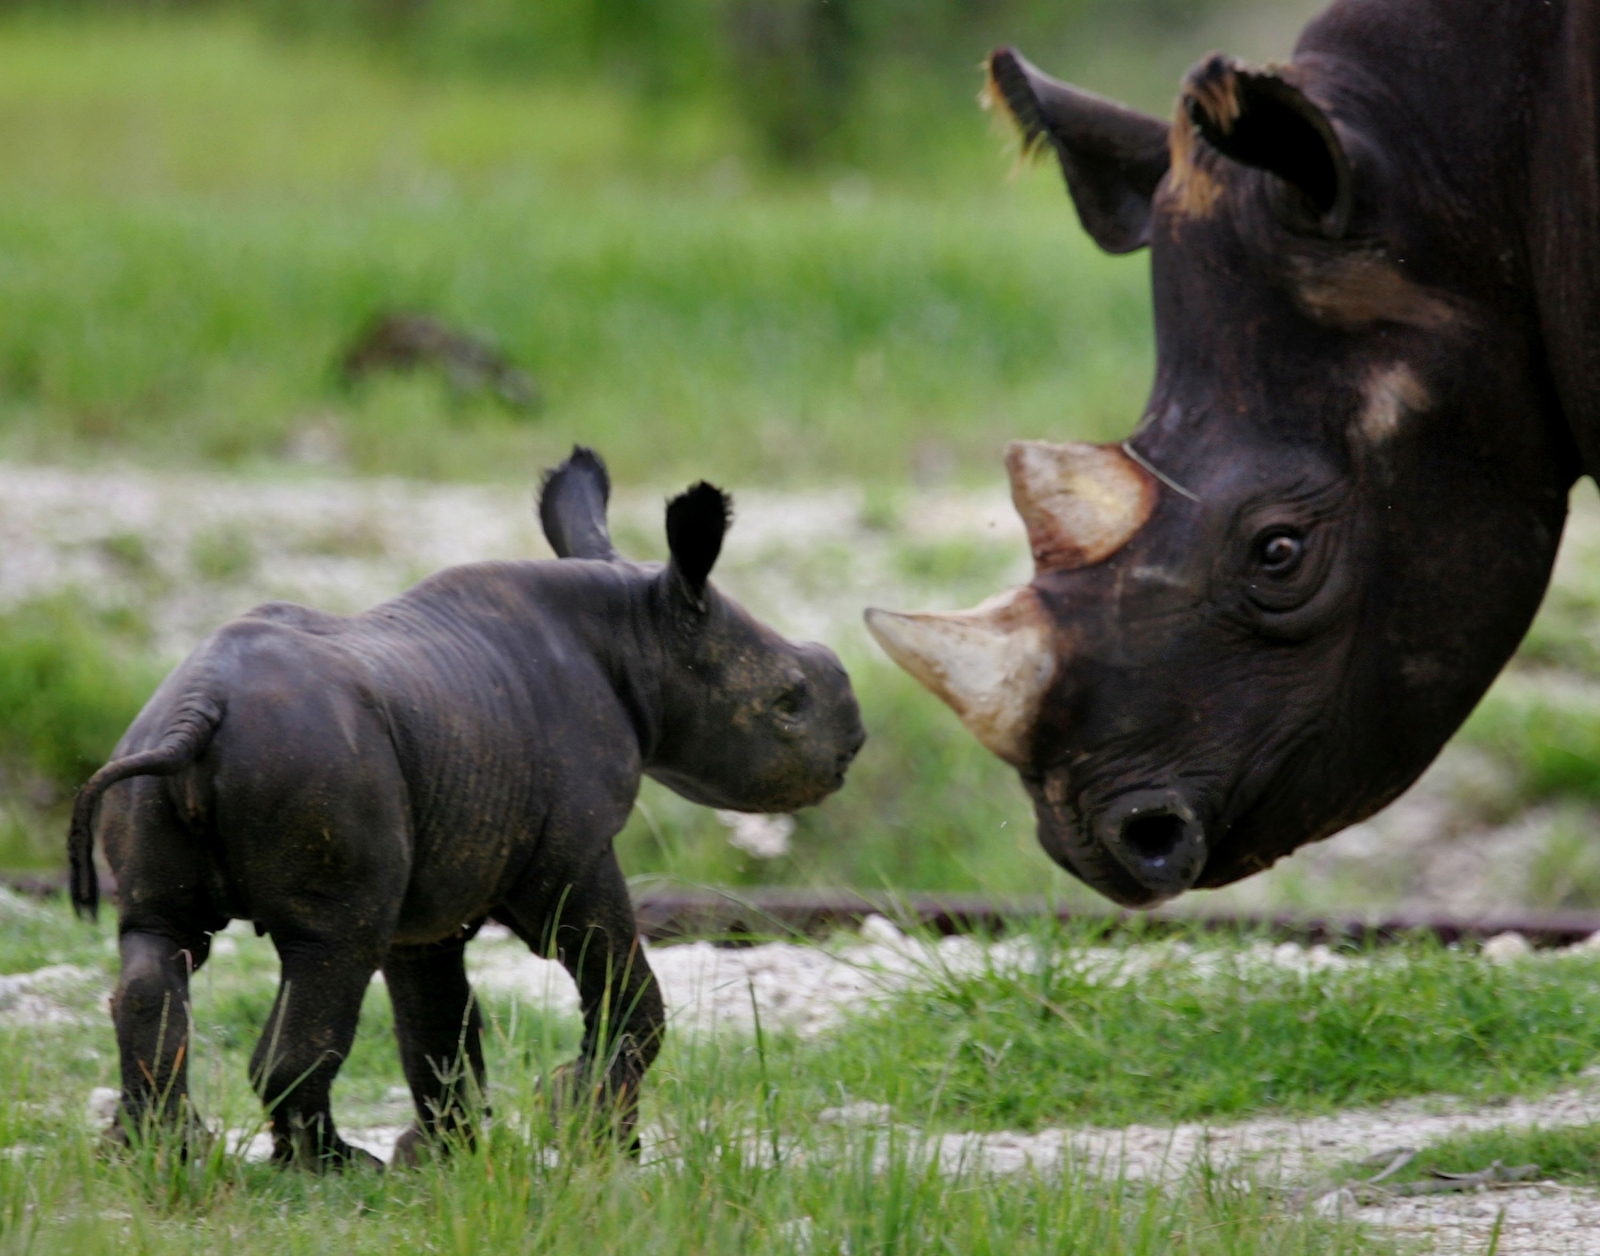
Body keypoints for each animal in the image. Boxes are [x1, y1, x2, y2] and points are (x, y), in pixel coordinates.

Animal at [70, 448, 870, 1164]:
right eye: (790, 701)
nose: (855, 742)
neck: (643, 636)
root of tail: (200, 709)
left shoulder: (440, 884)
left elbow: (437, 1021)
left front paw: (442, 1156)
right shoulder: (571, 851)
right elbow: (624, 986)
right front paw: (586, 1130)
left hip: (162, 764)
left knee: (161, 942)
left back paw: (155, 1154)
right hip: (317, 762)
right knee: (332, 948)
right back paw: (327, 1168)